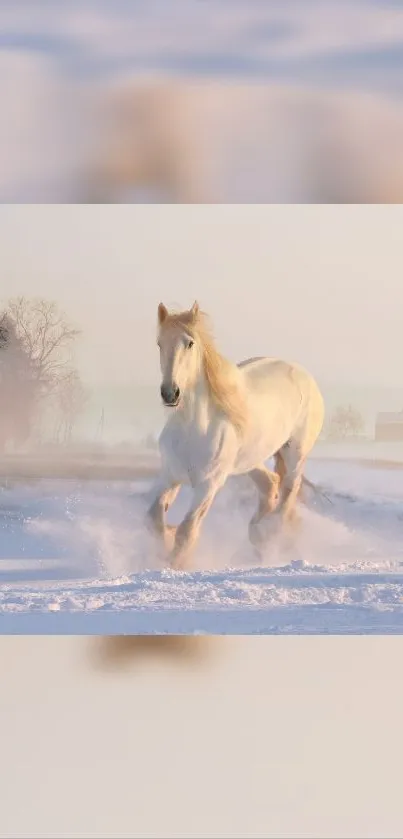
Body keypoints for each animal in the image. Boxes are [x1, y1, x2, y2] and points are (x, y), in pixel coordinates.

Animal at [146, 302, 326, 572]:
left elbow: (187, 531)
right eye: (159, 343)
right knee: (270, 484)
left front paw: (177, 564)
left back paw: (267, 534)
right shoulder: (170, 476)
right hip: (250, 461)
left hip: (295, 453)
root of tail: (303, 375)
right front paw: (167, 541)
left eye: (190, 343)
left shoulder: (209, 485)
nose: (170, 393)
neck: (193, 429)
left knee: (288, 492)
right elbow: (155, 518)